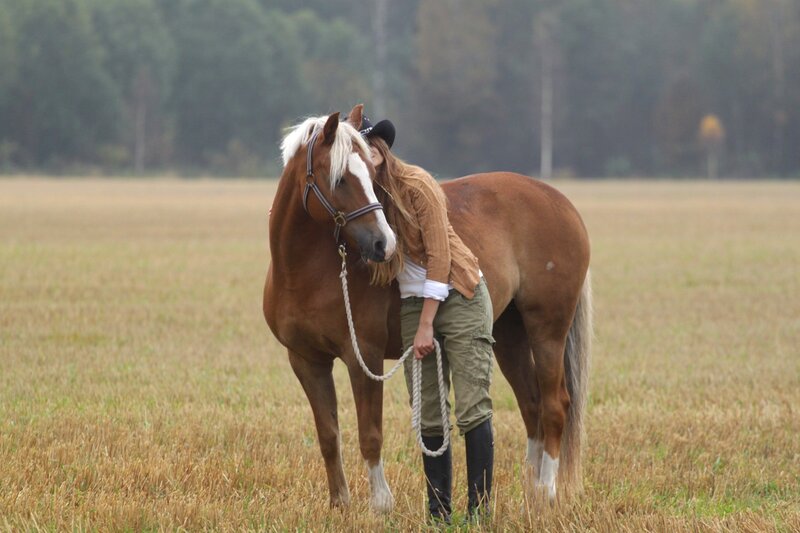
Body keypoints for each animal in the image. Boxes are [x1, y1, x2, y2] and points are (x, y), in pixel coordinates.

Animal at [263, 105, 592, 513]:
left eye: (371, 174)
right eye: (338, 179)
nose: (383, 244)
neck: (305, 271)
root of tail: (562, 203)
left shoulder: (363, 357)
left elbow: (370, 434)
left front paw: (381, 505)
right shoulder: (306, 362)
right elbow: (328, 435)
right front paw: (340, 505)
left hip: (547, 331)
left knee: (554, 405)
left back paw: (545, 492)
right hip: (509, 336)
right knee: (531, 406)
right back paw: (529, 492)